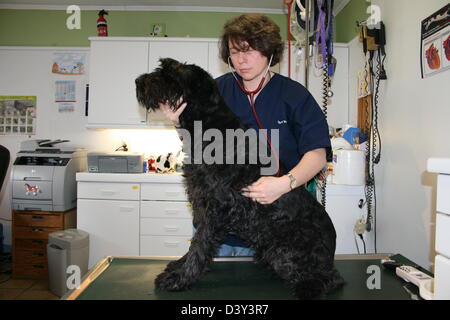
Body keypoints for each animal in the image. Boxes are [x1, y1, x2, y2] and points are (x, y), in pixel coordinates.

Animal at [135, 58, 342, 300]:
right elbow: (194, 244)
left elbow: (199, 244)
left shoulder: (215, 208)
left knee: (330, 278)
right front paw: (178, 266)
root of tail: (331, 253)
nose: (138, 81)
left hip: (284, 249)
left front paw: (180, 278)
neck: (208, 123)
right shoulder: (201, 202)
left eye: (168, 73)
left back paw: (308, 286)